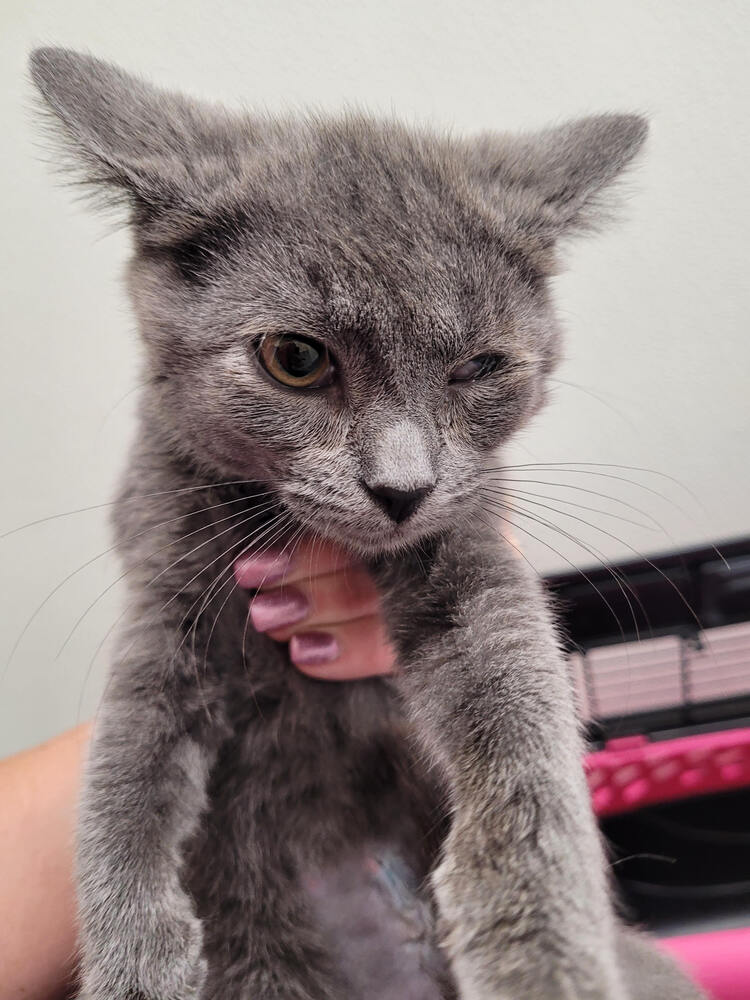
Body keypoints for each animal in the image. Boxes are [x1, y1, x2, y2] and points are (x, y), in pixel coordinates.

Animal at [29, 45, 708, 1000]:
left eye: (481, 366)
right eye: (295, 359)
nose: (402, 488)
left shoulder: (469, 545)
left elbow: (522, 723)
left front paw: (540, 948)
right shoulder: (162, 594)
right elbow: (123, 780)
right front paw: (136, 963)